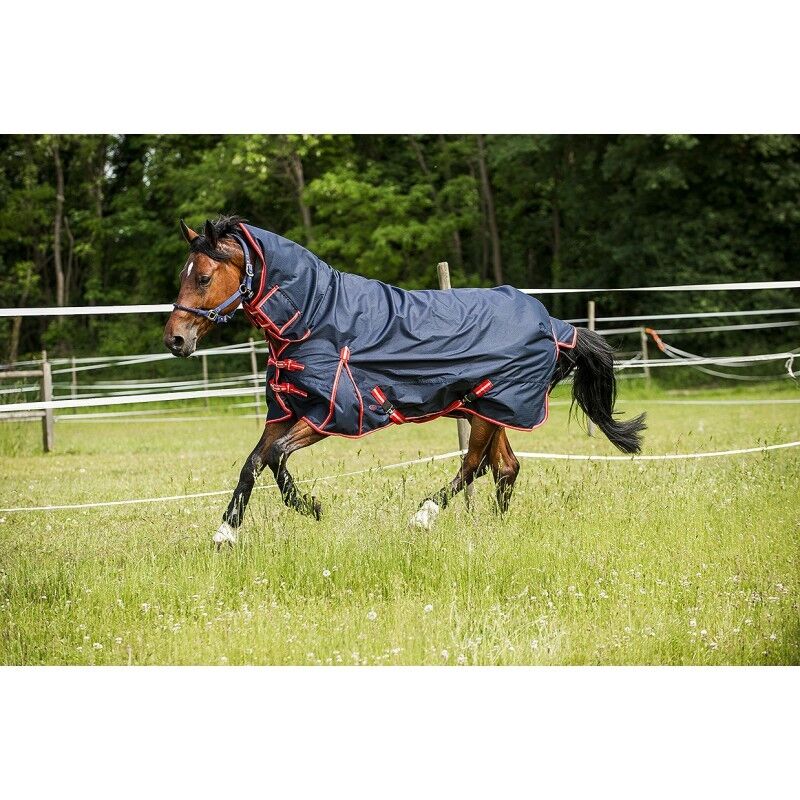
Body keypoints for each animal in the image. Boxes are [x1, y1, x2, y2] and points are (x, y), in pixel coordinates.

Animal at [164, 216, 646, 547]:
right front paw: (226, 533)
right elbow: (254, 462)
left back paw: (424, 515)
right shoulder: (286, 410)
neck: (314, 318)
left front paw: (313, 508)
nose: (175, 339)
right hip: (492, 409)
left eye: (202, 277)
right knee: (504, 467)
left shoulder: (329, 415)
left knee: (474, 465)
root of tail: (556, 326)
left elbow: (277, 458)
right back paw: (494, 527)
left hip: (493, 408)